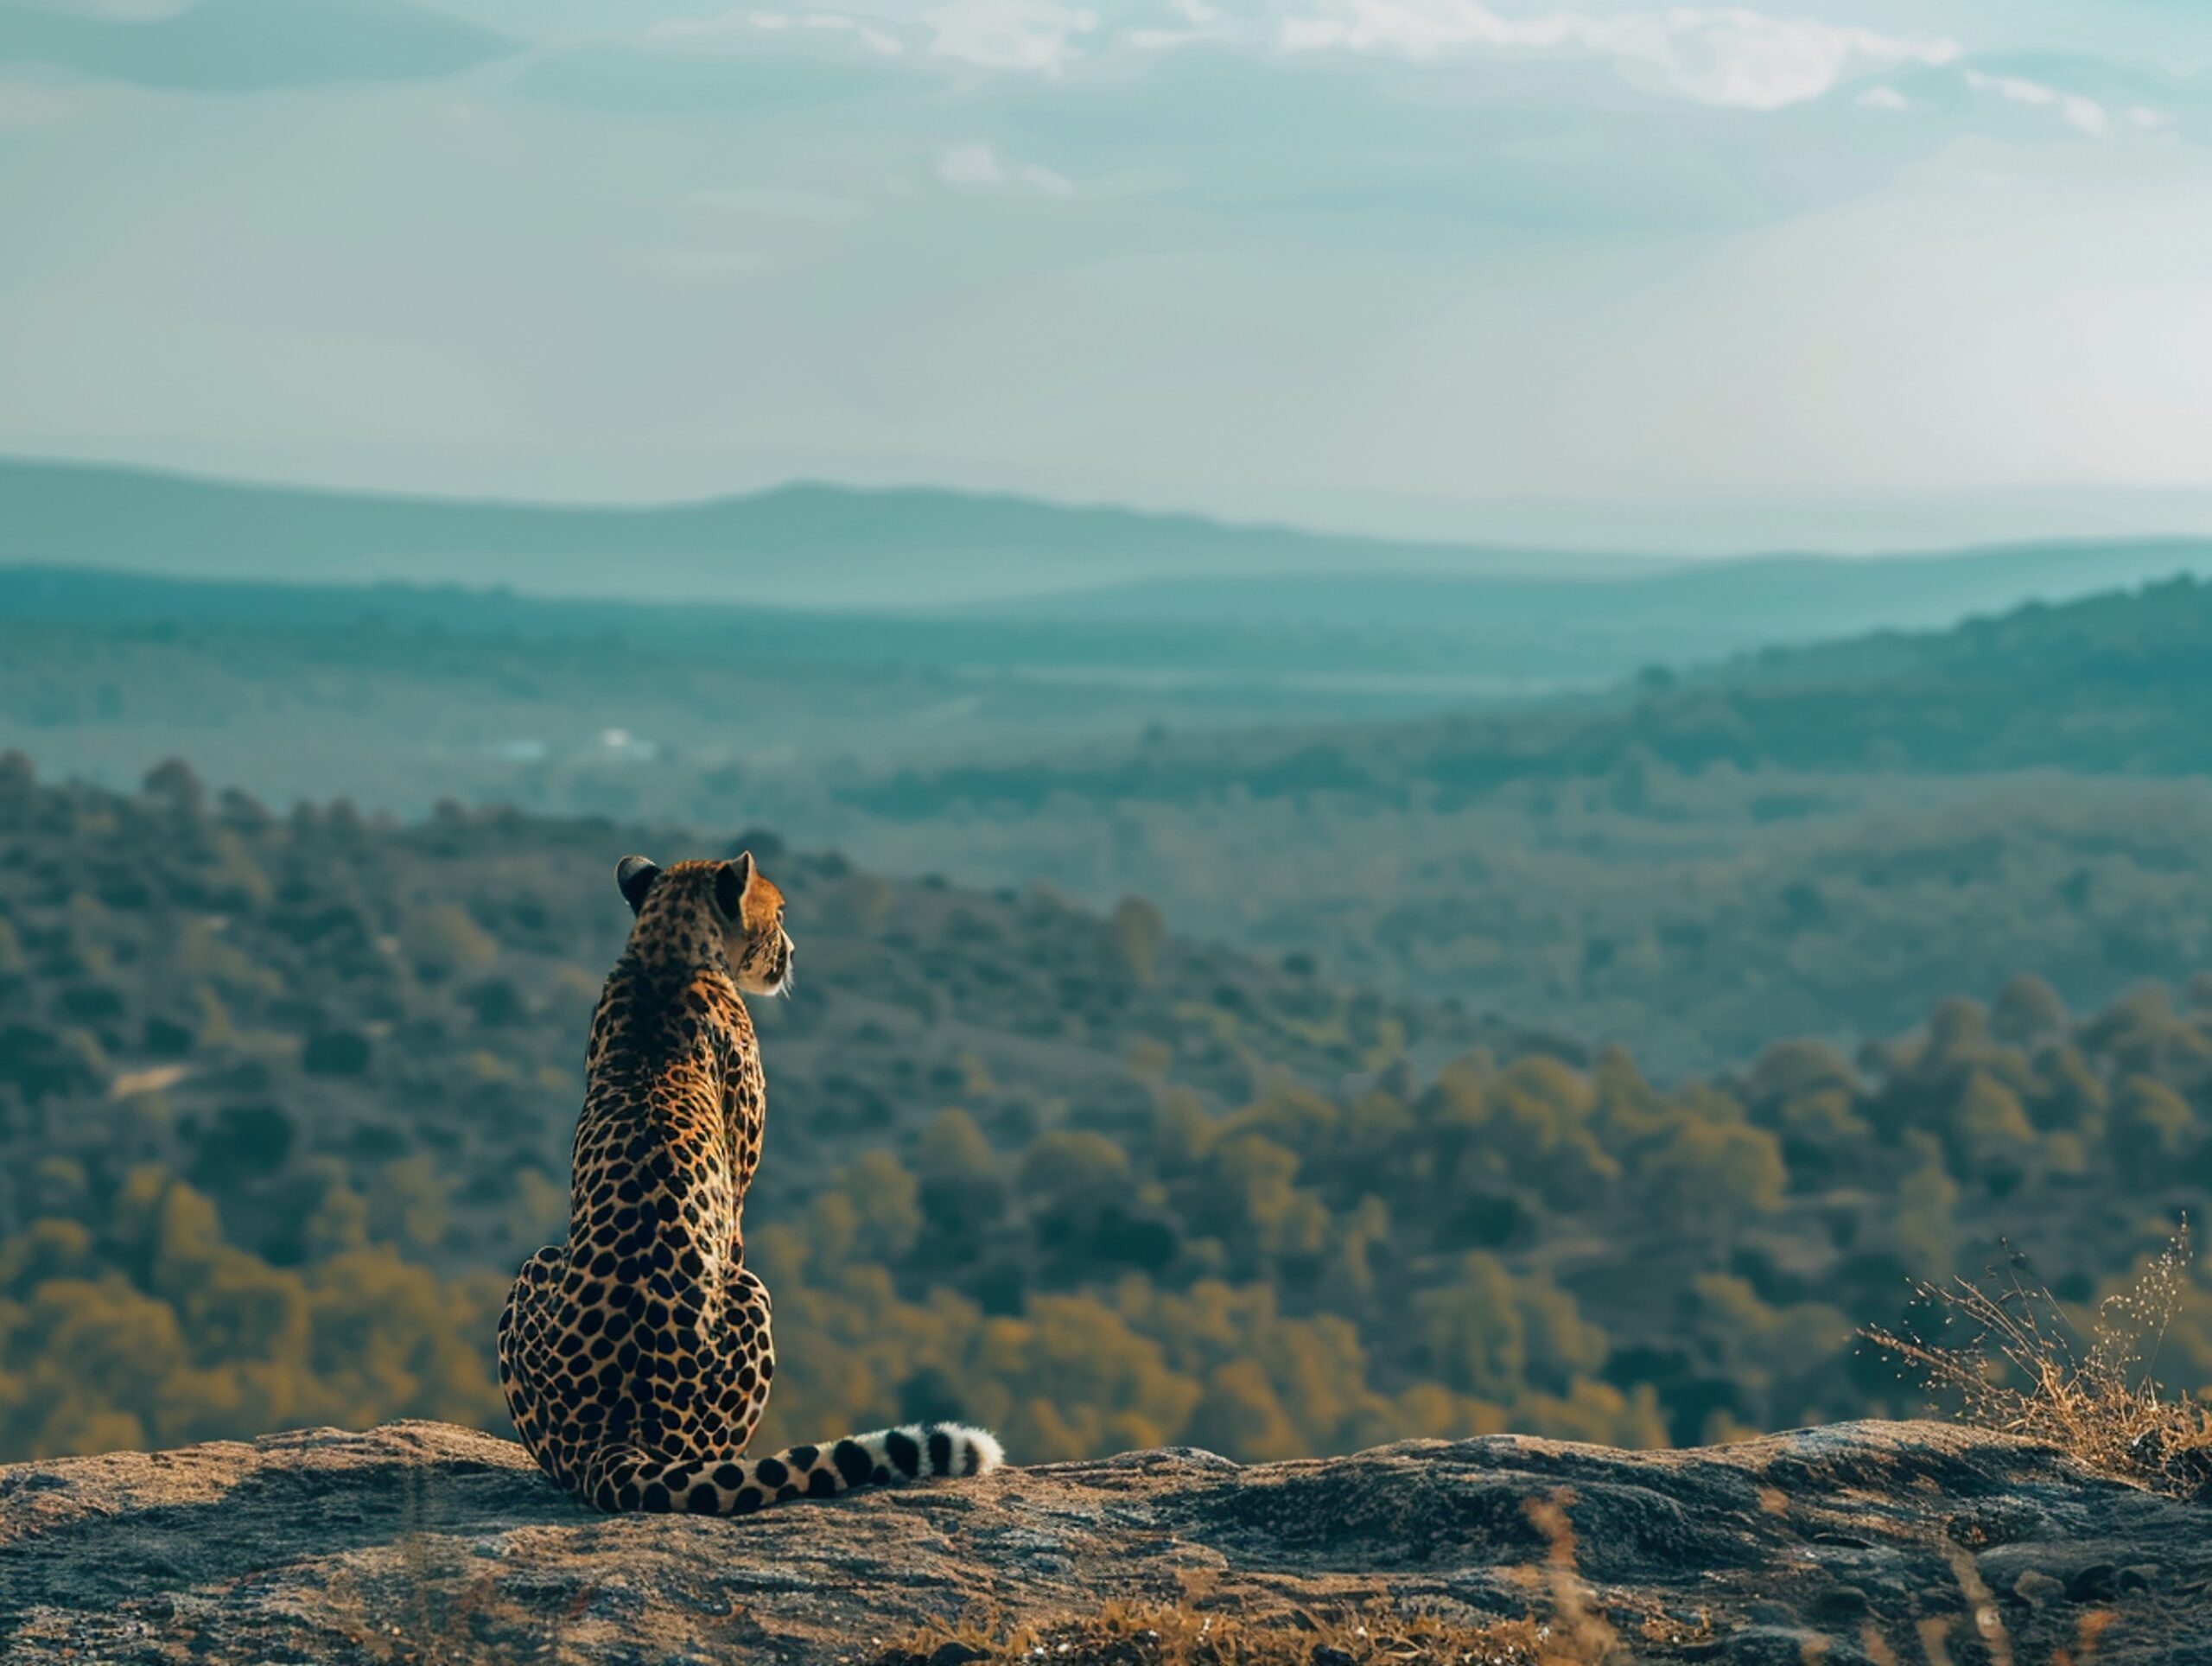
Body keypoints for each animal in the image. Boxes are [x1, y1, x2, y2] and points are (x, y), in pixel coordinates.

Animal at [498, 849, 1008, 1513]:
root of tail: (607, 1439)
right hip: (747, 1291)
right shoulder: (737, 1201)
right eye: (780, 912)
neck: (664, 953)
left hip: (536, 1265)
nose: (792, 951)